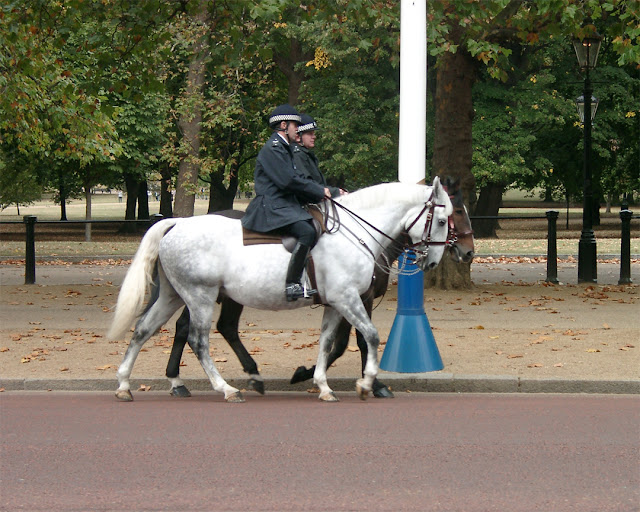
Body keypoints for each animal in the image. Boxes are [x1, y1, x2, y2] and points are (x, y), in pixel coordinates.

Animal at [107, 178, 452, 402]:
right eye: (443, 219)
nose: (435, 261)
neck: (355, 231)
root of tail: (177, 223)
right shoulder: (348, 299)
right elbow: (370, 336)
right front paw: (367, 383)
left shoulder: (334, 304)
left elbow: (328, 343)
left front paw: (322, 385)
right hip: (200, 296)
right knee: (198, 340)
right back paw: (226, 389)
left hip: (174, 295)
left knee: (144, 329)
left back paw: (124, 384)